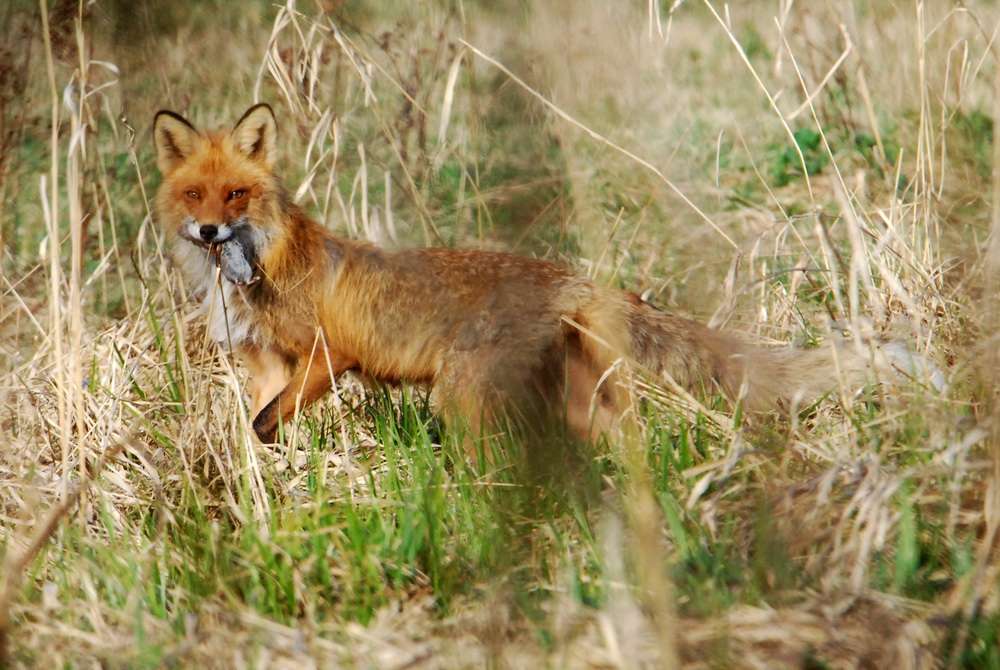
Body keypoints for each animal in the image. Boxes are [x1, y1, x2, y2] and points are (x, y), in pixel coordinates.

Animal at [150, 105, 876, 448]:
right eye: (194, 195)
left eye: (237, 194)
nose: (210, 232)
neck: (267, 262)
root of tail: (573, 277)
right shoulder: (266, 364)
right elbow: (257, 425)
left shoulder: (330, 354)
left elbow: (263, 422)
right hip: (574, 401)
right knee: (627, 443)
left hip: (460, 401)